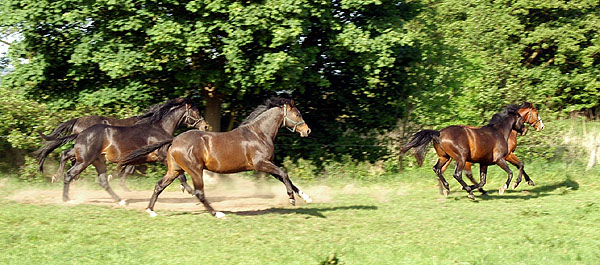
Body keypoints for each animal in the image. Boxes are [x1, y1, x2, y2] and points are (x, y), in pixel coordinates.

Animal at [36, 98, 209, 203]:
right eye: (195, 111)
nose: (205, 126)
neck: (158, 127)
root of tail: (80, 128)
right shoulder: (161, 156)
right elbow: (180, 175)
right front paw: (189, 190)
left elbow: (127, 170)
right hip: (86, 158)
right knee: (70, 169)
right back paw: (66, 195)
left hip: (91, 157)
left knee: (67, 156)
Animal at [119, 97, 312, 217]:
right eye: (297, 114)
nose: (307, 130)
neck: (258, 134)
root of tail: (175, 139)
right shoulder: (261, 164)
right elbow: (284, 174)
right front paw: (292, 199)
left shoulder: (268, 163)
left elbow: (284, 177)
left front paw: (305, 197)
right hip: (195, 170)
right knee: (199, 192)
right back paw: (217, 213)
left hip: (174, 170)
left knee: (159, 185)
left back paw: (150, 210)